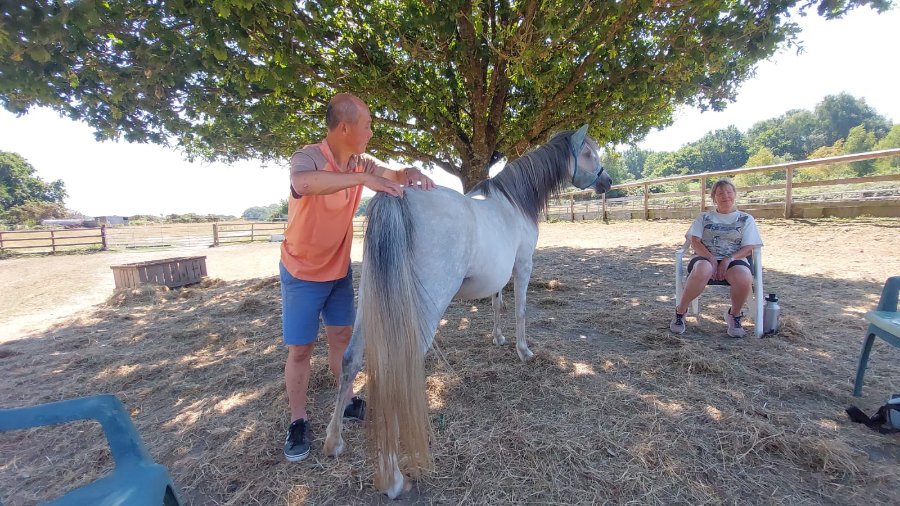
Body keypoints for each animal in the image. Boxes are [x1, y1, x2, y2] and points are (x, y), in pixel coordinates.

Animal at [323, 125, 612, 498]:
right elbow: (519, 310)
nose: (607, 181)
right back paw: (394, 479)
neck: (512, 203)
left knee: (350, 359)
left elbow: (498, 302)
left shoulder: (500, 274)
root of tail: (397, 197)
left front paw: (498, 338)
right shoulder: (523, 265)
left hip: (371, 302)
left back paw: (334, 442)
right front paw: (523, 351)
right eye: (588, 153)